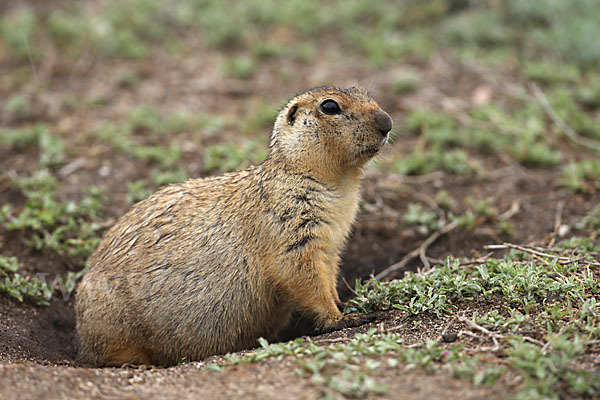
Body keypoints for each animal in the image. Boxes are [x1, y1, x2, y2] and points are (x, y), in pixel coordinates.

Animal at [75, 86, 394, 366]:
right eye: (329, 106)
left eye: (367, 93)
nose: (387, 123)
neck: (337, 184)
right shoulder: (288, 223)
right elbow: (299, 272)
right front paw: (343, 318)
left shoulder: (332, 242)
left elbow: (327, 274)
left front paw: (345, 304)